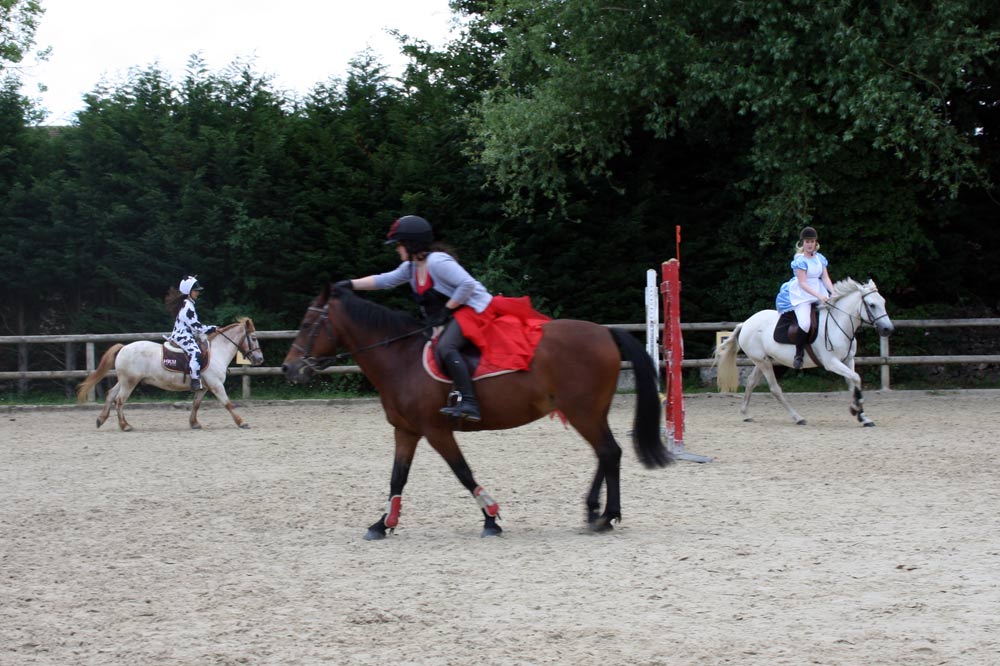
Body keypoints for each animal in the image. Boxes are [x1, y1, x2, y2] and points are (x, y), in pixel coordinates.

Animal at [75, 318, 264, 430]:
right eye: (254, 338)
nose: (259, 358)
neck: (216, 352)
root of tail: (124, 347)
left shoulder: (203, 387)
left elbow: (196, 404)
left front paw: (194, 423)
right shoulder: (216, 385)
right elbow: (228, 404)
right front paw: (242, 422)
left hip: (124, 381)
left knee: (110, 395)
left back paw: (101, 419)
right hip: (129, 382)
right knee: (119, 401)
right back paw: (125, 425)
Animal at [282, 282, 672, 536]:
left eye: (307, 324)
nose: (289, 369)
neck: (401, 359)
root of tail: (605, 332)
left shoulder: (436, 431)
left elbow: (463, 472)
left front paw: (491, 519)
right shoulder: (406, 431)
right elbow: (397, 477)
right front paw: (383, 523)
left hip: (583, 413)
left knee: (608, 452)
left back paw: (605, 517)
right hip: (589, 413)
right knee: (607, 454)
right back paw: (595, 512)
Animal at [716, 278, 896, 426]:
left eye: (883, 302)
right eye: (872, 305)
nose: (888, 329)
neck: (839, 324)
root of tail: (746, 323)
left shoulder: (848, 360)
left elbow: (854, 383)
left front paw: (862, 416)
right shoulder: (832, 363)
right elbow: (856, 379)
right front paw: (855, 409)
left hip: (763, 361)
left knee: (751, 383)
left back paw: (746, 414)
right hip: (764, 362)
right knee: (775, 389)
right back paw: (798, 417)